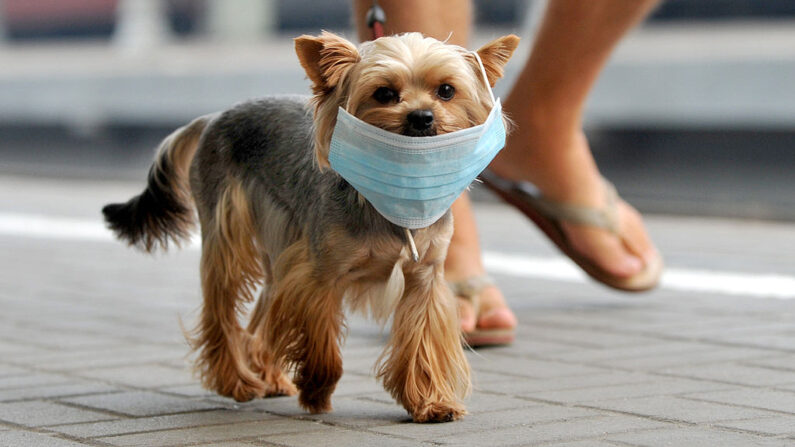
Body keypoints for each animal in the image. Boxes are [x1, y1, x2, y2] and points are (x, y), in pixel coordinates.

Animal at [102, 32, 520, 424]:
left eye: (446, 90)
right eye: (384, 93)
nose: (421, 117)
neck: (394, 198)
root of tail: (214, 117)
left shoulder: (424, 280)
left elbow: (420, 345)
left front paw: (431, 404)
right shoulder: (321, 277)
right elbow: (323, 346)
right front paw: (317, 391)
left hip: (278, 250)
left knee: (263, 315)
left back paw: (270, 378)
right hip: (226, 236)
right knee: (221, 311)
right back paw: (236, 381)